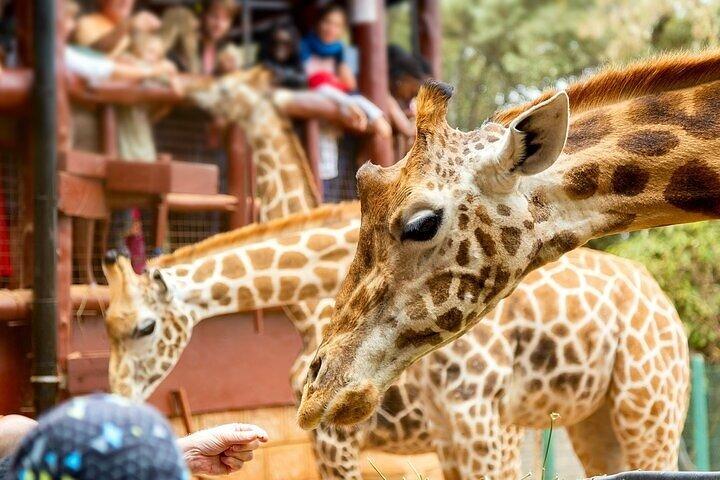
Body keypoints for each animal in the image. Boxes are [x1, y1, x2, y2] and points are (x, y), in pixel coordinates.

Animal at [104, 205, 689, 478]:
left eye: (144, 328)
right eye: (105, 325)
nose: (116, 399)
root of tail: (668, 307)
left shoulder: (478, 415)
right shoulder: (448, 425)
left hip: (648, 406)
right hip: (597, 420)